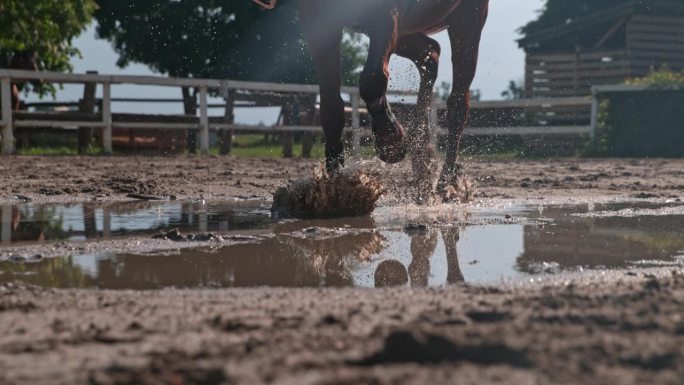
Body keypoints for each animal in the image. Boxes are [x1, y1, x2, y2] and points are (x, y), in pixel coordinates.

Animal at [254, 0, 488, 195]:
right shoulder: (321, 22)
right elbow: (331, 104)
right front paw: (334, 183)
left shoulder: (384, 15)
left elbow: (372, 80)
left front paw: (391, 141)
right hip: (405, 30)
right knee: (431, 54)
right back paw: (422, 157)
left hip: (467, 19)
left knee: (458, 102)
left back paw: (446, 181)